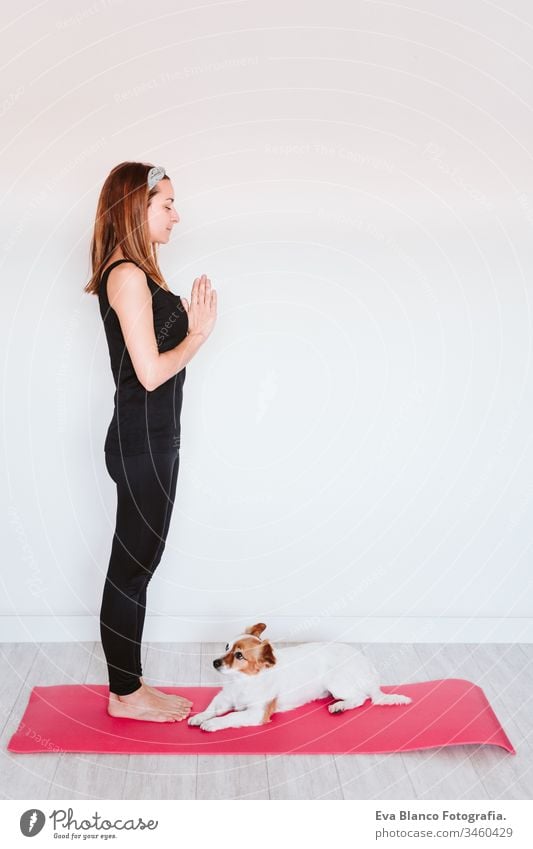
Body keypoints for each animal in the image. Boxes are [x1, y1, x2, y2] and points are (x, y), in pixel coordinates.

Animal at [188, 620, 412, 732]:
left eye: (239, 655)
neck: (243, 681)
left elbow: (231, 716)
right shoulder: (224, 698)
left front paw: (212, 724)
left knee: (360, 698)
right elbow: (212, 709)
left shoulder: (257, 713)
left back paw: (340, 706)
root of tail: (370, 670)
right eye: (226, 647)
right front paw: (199, 717)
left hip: (335, 680)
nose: (215, 662)